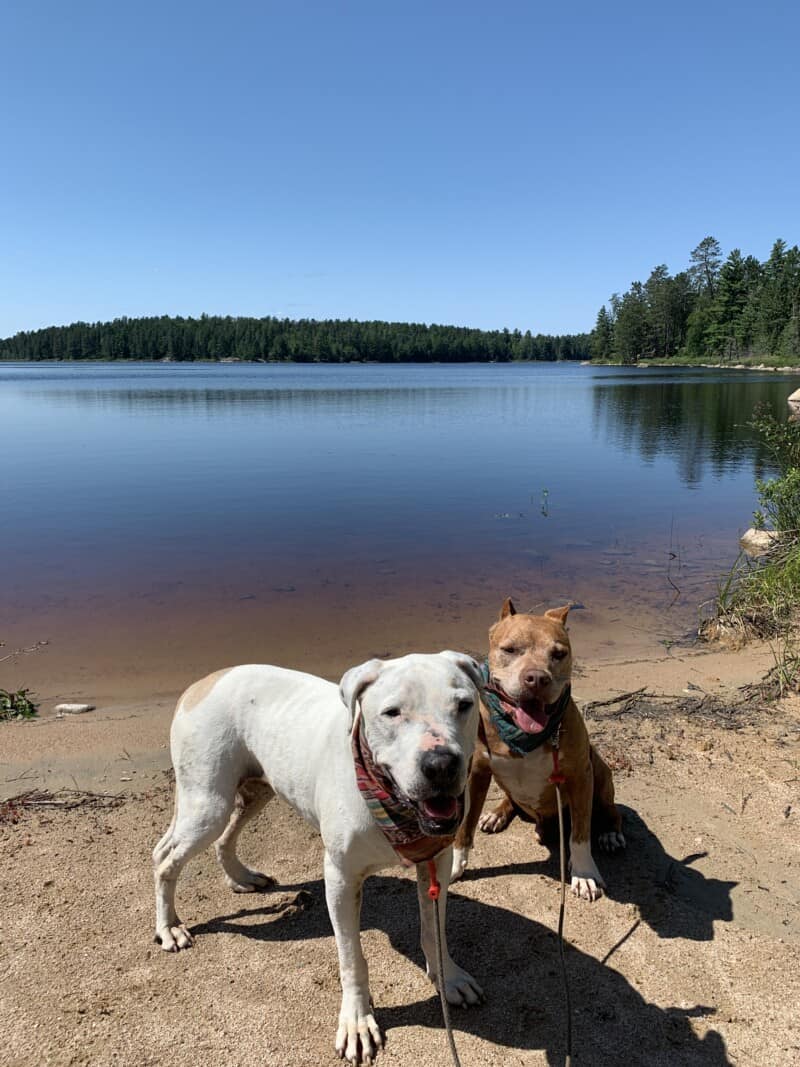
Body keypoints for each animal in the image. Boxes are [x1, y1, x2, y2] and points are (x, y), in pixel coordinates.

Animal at [154, 653, 486, 1062]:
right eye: (392, 712)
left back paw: (242, 877)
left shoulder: (435, 863)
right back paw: (169, 927)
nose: (441, 764)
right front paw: (357, 1022)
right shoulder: (341, 878)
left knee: (222, 838)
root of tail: (202, 682)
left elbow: (434, 931)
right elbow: (351, 957)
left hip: (256, 789)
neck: (391, 805)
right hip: (207, 802)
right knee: (165, 858)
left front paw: (449, 978)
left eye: (463, 705)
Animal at [452, 601, 627, 900]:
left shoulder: (580, 777)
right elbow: (466, 824)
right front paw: (456, 864)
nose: (536, 678)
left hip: (601, 774)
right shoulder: (476, 772)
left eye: (559, 654)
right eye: (510, 649)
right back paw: (496, 814)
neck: (522, 736)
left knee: (610, 810)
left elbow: (580, 831)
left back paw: (609, 833)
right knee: (510, 799)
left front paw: (584, 873)